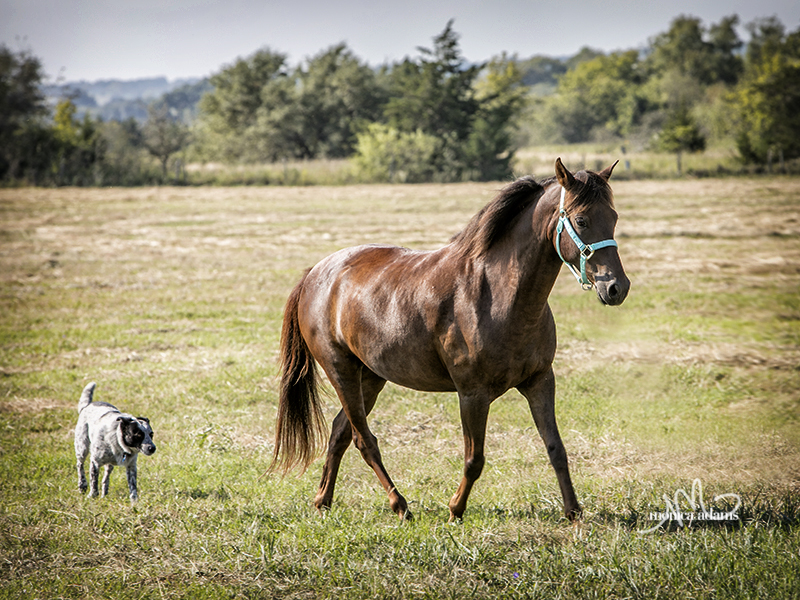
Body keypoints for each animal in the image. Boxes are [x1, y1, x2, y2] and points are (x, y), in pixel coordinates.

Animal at [272, 158, 628, 520]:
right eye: (581, 220)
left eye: (613, 217)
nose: (617, 287)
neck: (497, 296)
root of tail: (314, 274)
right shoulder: (472, 394)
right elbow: (475, 458)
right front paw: (456, 508)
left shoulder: (540, 381)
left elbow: (556, 447)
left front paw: (573, 510)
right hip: (340, 371)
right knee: (365, 440)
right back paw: (399, 505)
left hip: (369, 377)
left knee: (340, 433)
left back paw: (323, 500)